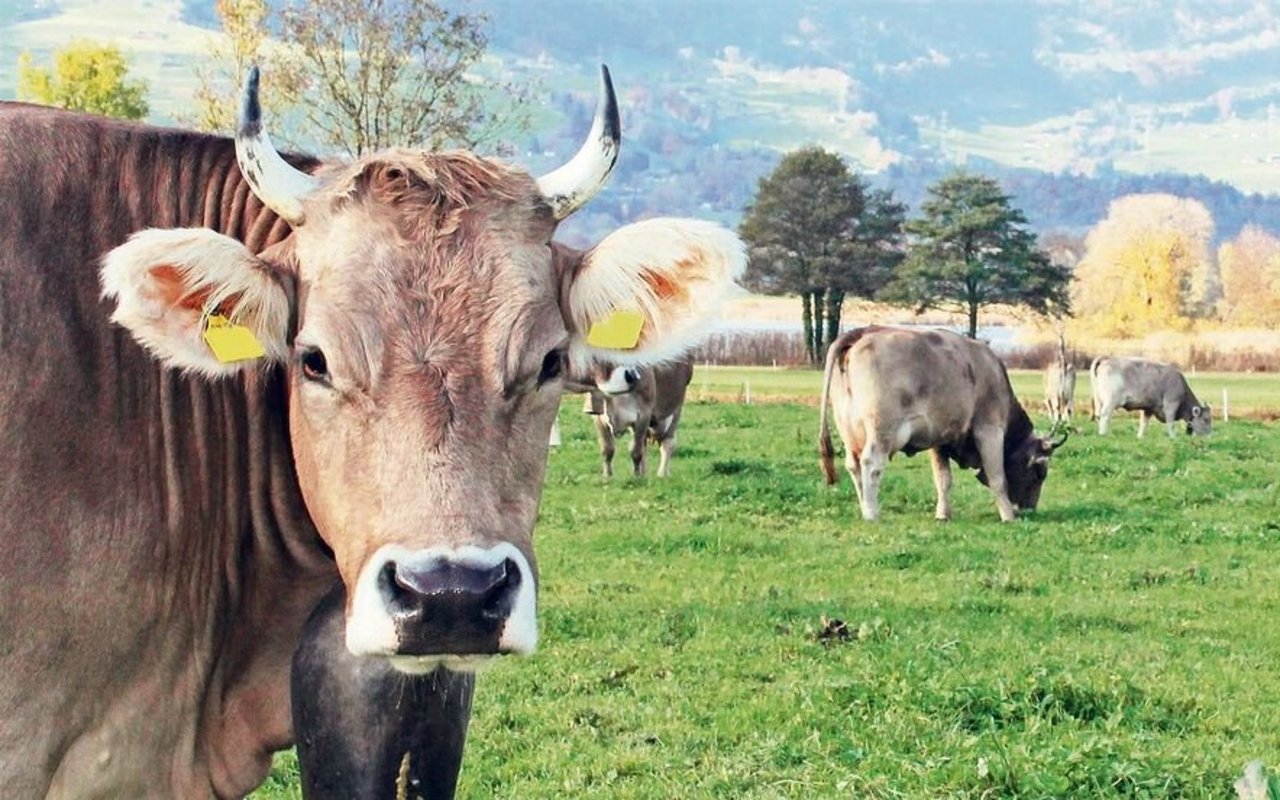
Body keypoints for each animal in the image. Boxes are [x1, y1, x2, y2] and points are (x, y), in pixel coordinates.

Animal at [819, 326, 1070, 522]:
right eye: (1040, 472)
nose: (1029, 509)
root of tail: (861, 333)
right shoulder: (989, 429)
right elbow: (998, 477)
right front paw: (1007, 516)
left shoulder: (939, 440)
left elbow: (943, 480)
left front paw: (943, 514)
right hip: (882, 431)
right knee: (871, 464)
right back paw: (872, 513)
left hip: (847, 430)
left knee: (853, 466)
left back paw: (864, 507)